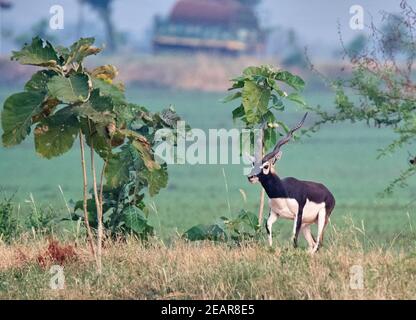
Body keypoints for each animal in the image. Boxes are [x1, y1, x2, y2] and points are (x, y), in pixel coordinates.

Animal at [247, 114, 334, 254]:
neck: (283, 192)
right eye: (253, 164)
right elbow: (268, 228)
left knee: (318, 243)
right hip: (306, 224)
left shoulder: (298, 215)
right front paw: (270, 249)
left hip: (321, 218)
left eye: (265, 166)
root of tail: (329, 193)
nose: (250, 177)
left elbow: (294, 238)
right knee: (313, 243)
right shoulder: (275, 213)